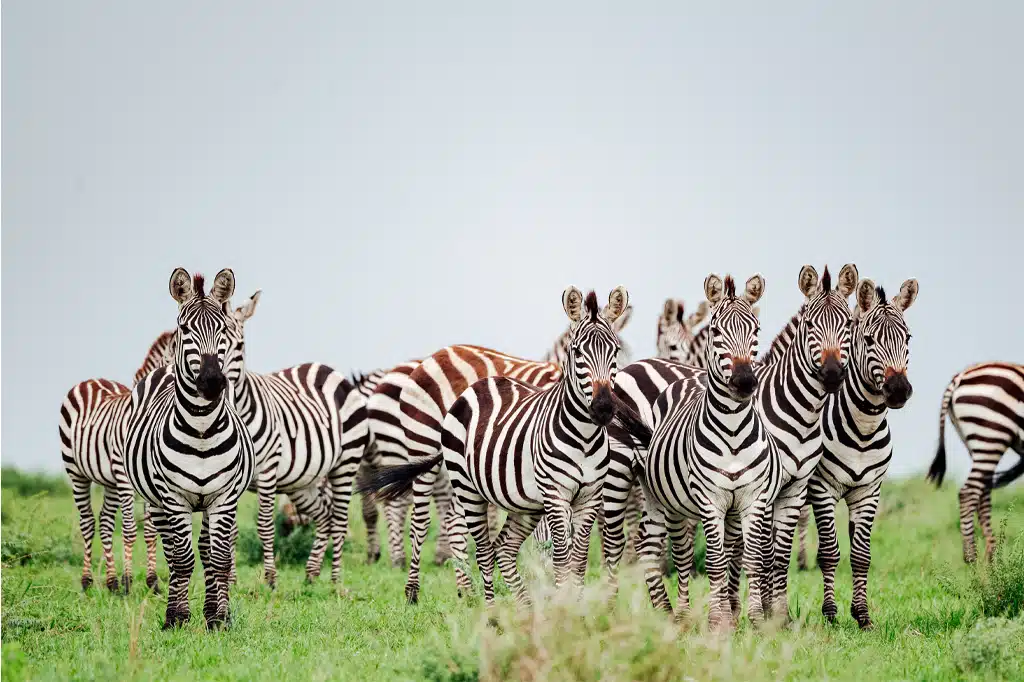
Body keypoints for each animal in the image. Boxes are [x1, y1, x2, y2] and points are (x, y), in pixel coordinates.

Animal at [124, 268, 256, 629]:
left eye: (223, 330)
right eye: (185, 329)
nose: (212, 382)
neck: (201, 429)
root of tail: (166, 367)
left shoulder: (224, 497)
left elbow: (220, 559)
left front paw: (219, 618)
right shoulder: (173, 497)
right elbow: (182, 560)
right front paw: (177, 618)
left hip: (209, 504)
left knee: (208, 552)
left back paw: (213, 610)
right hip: (155, 502)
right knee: (172, 552)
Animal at [361, 287, 630, 607]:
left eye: (616, 352)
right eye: (577, 352)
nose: (605, 408)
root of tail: (431, 357)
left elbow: (574, 553)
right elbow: (556, 548)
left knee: (454, 522)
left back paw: (466, 591)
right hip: (419, 442)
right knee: (420, 519)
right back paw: (412, 587)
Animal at [807, 277, 918, 629]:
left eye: (907, 338)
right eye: (869, 340)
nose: (898, 391)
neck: (862, 429)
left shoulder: (869, 491)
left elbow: (861, 555)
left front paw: (863, 615)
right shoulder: (822, 488)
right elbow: (829, 552)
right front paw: (830, 614)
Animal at [926, 362, 1023, 564]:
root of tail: (959, 377)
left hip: (978, 443)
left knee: (983, 493)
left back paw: (992, 563)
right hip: (992, 434)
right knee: (969, 493)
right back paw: (973, 559)